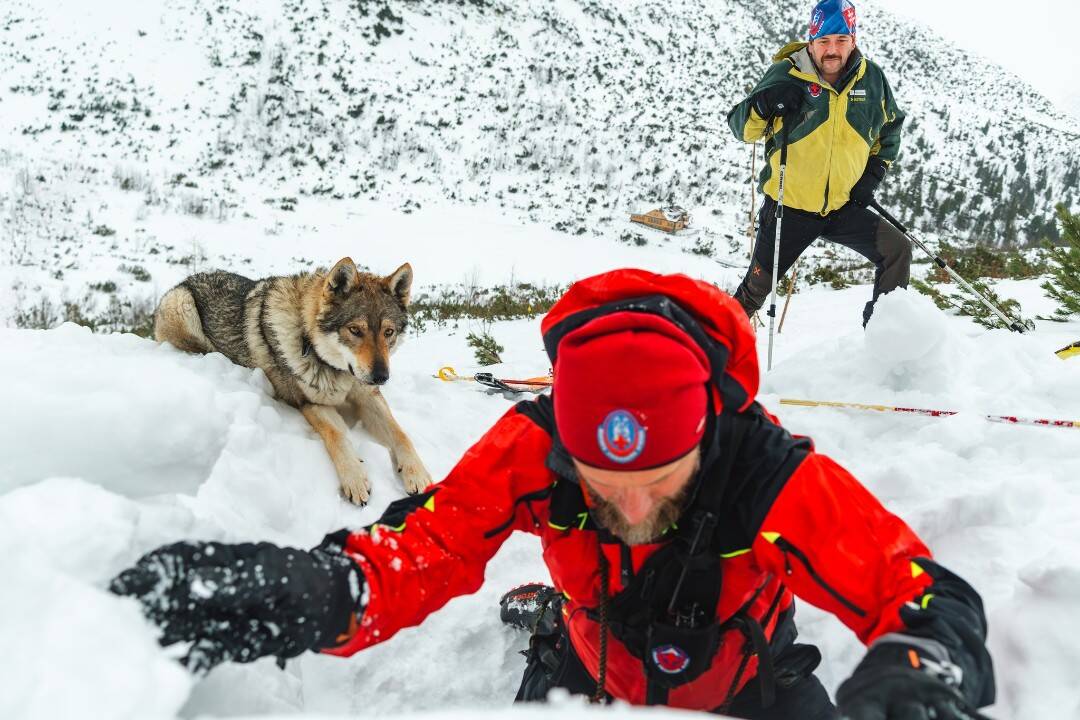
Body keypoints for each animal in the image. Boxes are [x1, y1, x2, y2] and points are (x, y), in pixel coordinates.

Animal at [154, 260, 432, 507]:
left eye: (388, 332)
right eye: (355, 330)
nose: (381, 377)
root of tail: (186, 280)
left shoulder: (368, 395)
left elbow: (401, 435)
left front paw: (419, 475)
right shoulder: (309, 403)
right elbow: (337, 436)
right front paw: (355, 477)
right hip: (183, 307)